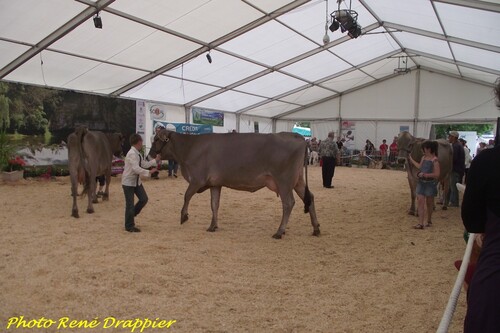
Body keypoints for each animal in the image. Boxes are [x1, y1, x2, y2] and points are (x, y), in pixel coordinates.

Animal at [150, 130, 320, 239]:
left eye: (156, 139)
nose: (149, 154)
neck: (189, 148)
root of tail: (297, 136)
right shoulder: (215, 184)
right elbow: (214, 204)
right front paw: (212, 226)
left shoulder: (197, 179)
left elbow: (186, 196)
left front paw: (183, 216)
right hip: (297, 180)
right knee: (310, 197)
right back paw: (316, 228)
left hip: (284, 181)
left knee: (289, 203)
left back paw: (279, 232)